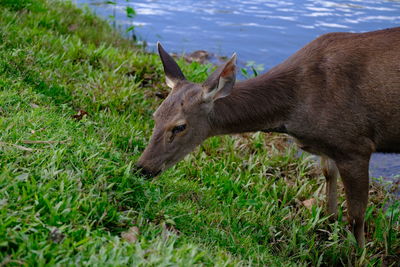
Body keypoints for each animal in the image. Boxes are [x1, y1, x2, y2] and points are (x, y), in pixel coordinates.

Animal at [138, 27, 400, 249]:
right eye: (155, 115)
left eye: (180, 126)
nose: (142, 168)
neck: (296, 106)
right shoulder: (329, 147)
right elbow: (329, 187)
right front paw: (327, 232)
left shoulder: (356, 144)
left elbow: (356, 217)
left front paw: (357, 256)